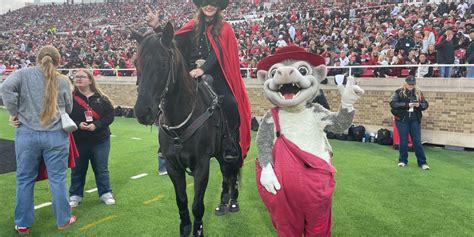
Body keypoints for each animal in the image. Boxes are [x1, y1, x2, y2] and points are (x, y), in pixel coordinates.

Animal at [132, 22, 241, 237]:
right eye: (136, 64)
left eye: (163, 64)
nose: (142, 112)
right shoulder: (173, 166)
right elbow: (181, 200)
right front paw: (185, 228)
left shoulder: (201, 165)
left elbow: (197, 205)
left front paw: (198, 230)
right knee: (226, 172)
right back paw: (223, 201)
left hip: (231, 148)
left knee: (232, 171)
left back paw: (232, 201)